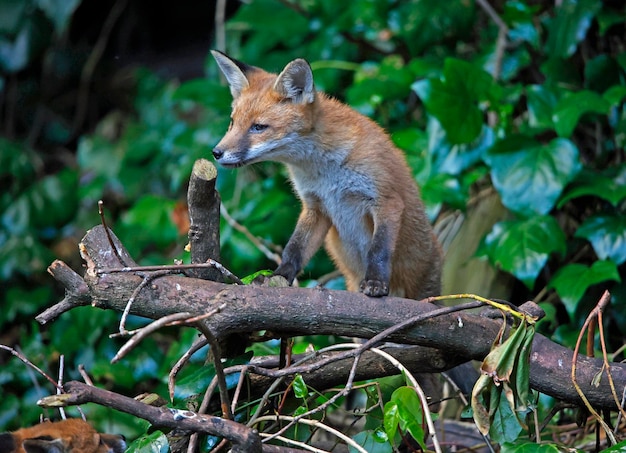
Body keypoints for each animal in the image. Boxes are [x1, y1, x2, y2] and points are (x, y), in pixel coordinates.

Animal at [212, 52, 442, 300]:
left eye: (258, 127)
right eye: (233, 122)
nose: (216, 152)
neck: (325, 175)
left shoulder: (386, 200)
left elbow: (378, 249)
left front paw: (376, 283)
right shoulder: (316, 207)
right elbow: (295, 249)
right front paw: (279, 276)